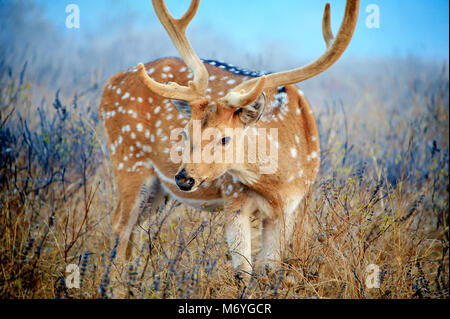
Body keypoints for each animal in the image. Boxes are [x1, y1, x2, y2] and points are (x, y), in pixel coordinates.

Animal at [98, 0, 358, 282]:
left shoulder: (289, 210)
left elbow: (269, 270)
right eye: (186, 131)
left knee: (134, 229)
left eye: (225, 138)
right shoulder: (234, 197)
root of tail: (110, 83)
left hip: (156, 187)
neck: (277, 185)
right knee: (119, 224)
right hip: (128, 158)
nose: (184, 178)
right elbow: (242, 272)